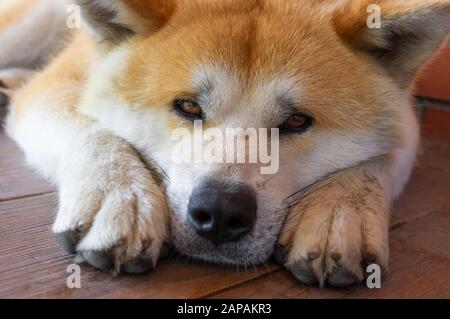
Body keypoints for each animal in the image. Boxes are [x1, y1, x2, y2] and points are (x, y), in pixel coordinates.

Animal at [2, 0, 450, 288]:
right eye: (188, 106)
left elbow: (380, 157)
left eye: (296, 121)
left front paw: (340, 211)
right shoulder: (58, 84)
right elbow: (95, 130)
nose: (219, 212)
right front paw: (121, 196)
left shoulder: (406, 115)